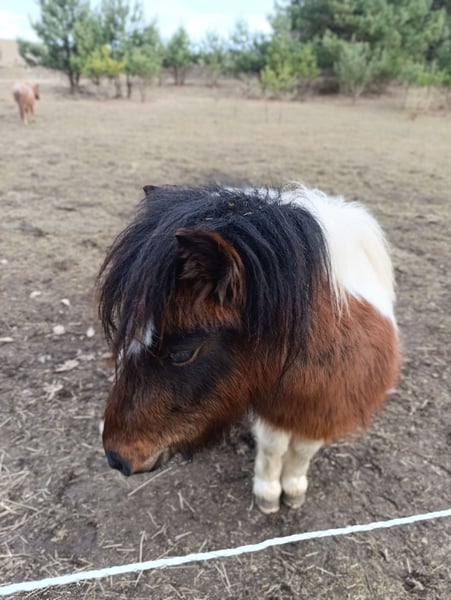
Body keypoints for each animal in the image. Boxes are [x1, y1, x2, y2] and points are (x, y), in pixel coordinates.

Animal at [98, 184, 399, 513]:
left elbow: (303, 450)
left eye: (181, 354)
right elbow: (273, 447)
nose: (116, 457)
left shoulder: (324, 408)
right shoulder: (272, 406)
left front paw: (294, 488)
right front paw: (268, 493)